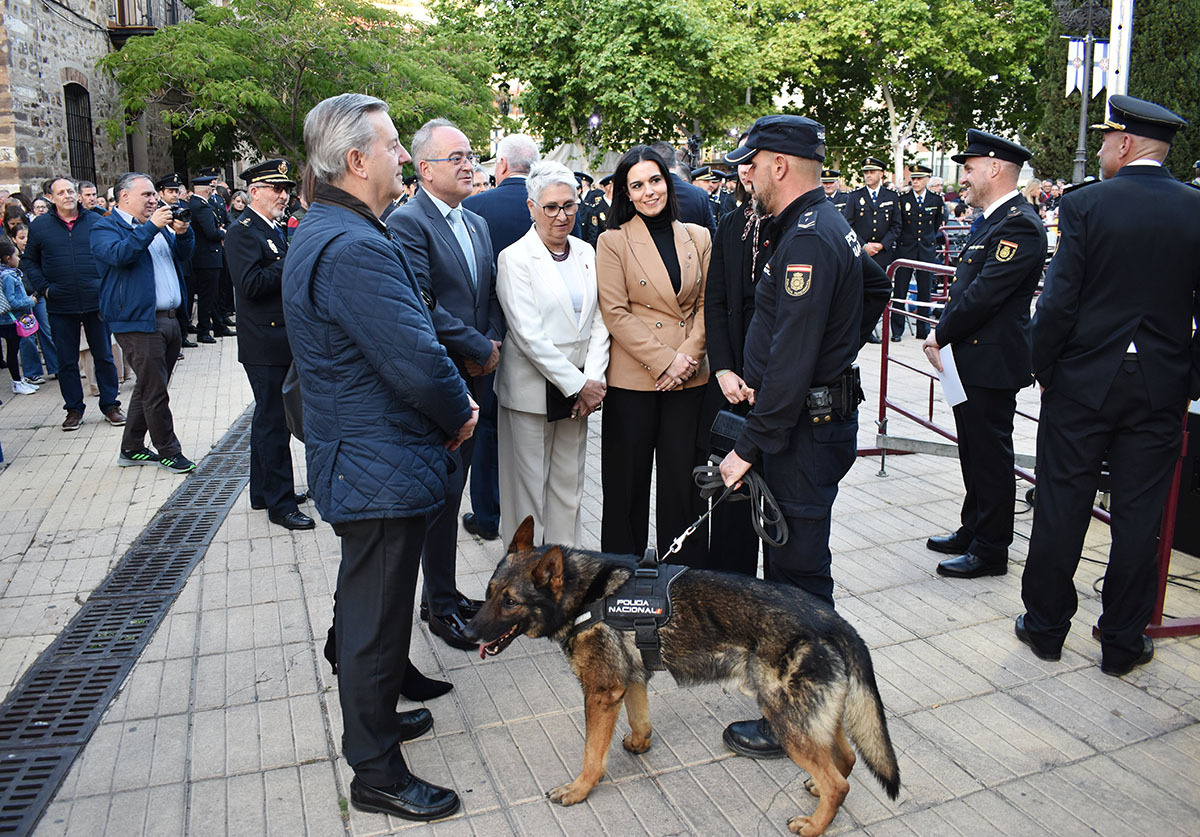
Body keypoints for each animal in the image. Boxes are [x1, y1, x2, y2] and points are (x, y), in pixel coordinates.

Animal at [468, 515, 902, 834]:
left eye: (511, 602)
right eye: (488, 594)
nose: (469, 633)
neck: (588, 593)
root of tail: (833, 621)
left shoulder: (602, 693)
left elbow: (593, 754)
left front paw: (579, 790)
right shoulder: (632, 681)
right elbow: (640, 720)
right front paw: (639, 744)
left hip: (786, 721)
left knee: (839, 783)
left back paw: (814, 826)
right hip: (811, 719)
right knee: (845, 757)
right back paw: (817, 794)